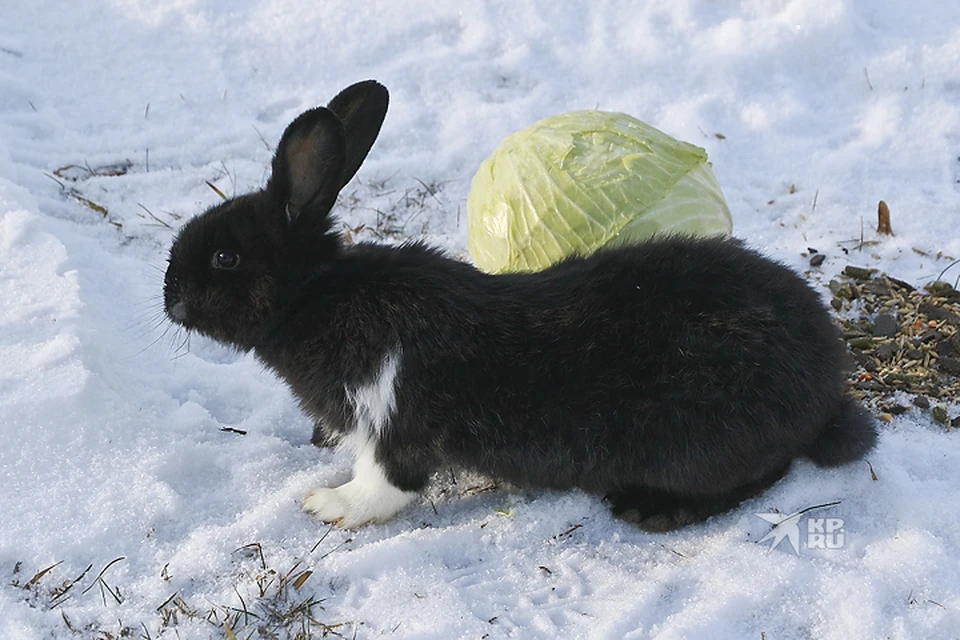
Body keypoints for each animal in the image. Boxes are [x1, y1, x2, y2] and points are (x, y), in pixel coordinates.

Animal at [167, 79, 876, 528]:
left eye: (225, 258)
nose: (169, 296)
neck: (315, 295)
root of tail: (826, 377)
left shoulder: (393, 421)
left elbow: (385, 485)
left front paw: (327, 506)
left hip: (704, 441)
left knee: (763, 472)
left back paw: (651, 509)